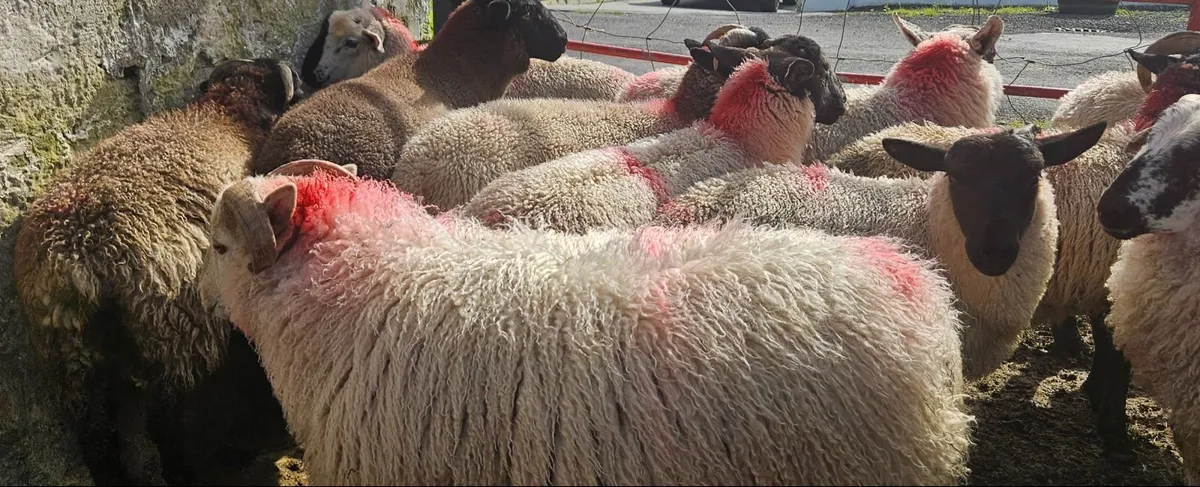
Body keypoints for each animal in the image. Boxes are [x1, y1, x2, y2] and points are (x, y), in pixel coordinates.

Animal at [11, 58, 305, 485]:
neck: (224, 113)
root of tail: (83, 256)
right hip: (176, 337)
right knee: (168, 427)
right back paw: (189, 471)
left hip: (72, 358)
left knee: (95, 436)